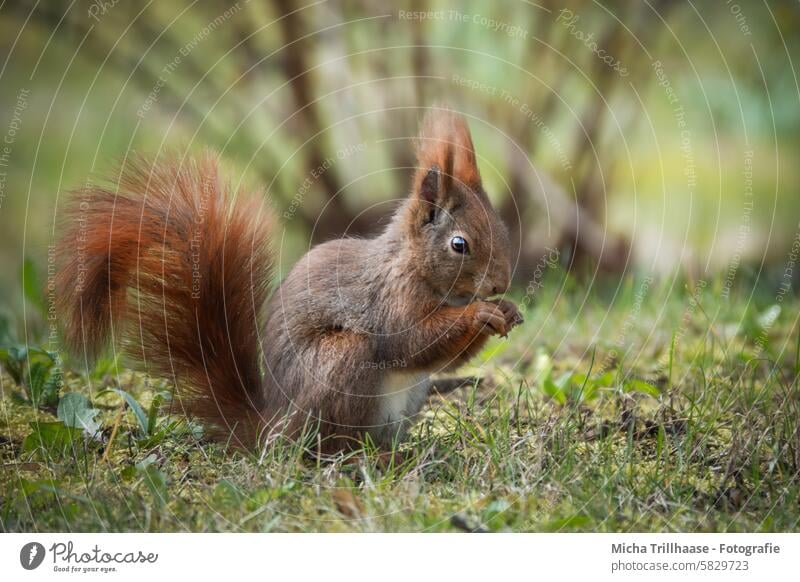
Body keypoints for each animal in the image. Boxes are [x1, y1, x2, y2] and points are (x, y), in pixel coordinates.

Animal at [59, 109, 528, 456]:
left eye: (502, 228)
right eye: (459, 244)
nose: (500, 283)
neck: (413, 267)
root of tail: (271, 427)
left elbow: (444, 360)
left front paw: (506, 311)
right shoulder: (390, 301)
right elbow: (410, 342)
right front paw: (481, 313)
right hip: (342, 362)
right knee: (328, 446)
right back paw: (361, 459)